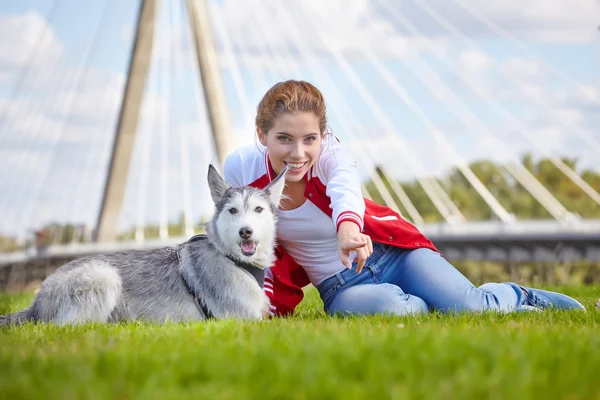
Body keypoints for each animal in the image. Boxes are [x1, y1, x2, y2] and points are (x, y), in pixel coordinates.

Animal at [0, 166, 286, 324]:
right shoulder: (243, 319)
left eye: (258, 209)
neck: (231, 257)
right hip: (103, 276)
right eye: (233, 211)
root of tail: (37, 302)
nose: (245, 232)